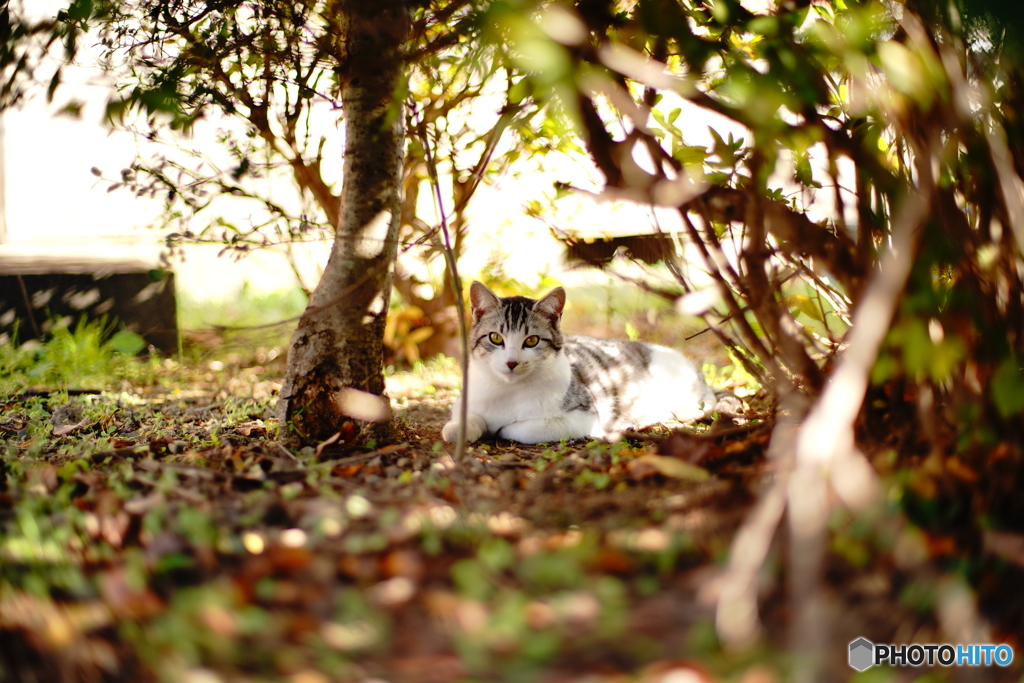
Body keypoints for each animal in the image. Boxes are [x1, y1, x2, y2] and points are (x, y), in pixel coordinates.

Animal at [442, 282, 720, 446]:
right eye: (496, 338)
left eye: (531, 341)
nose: (511, 362)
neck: (508, 391)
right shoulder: (467, 398)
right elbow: (467, 416)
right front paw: (459, 428)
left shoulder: (582, 418)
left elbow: (523, 429)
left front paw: (501, 428)